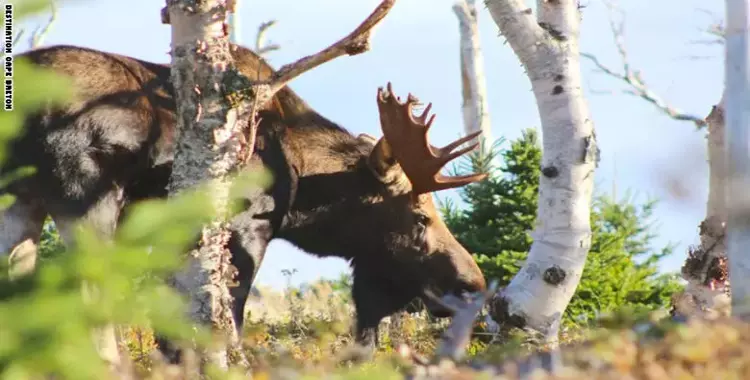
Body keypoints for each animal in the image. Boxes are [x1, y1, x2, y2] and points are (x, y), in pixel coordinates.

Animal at [0, 43, 490, 360]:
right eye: (420, 217)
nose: (473, 283)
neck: (302, 186)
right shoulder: (244, 227)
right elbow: (227, 324)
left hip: (21, 199)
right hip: (85, 194)